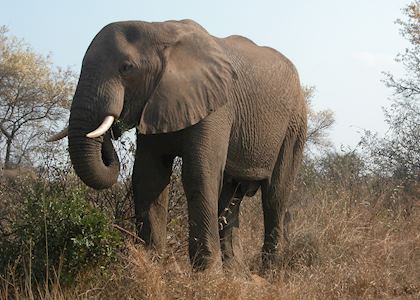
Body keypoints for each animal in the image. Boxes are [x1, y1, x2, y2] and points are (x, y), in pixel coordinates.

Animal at [50, 19, 306, 272]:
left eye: (126, 68)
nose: (114, 129)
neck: (159, 30)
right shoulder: (155, 101)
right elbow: (149, 177)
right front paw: (151, 264)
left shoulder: (217, 107)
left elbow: (199, 174)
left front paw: (208, 274)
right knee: (231, 195)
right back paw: (236, 272)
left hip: (294, 126)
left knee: (275, 196)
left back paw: (269, 272)